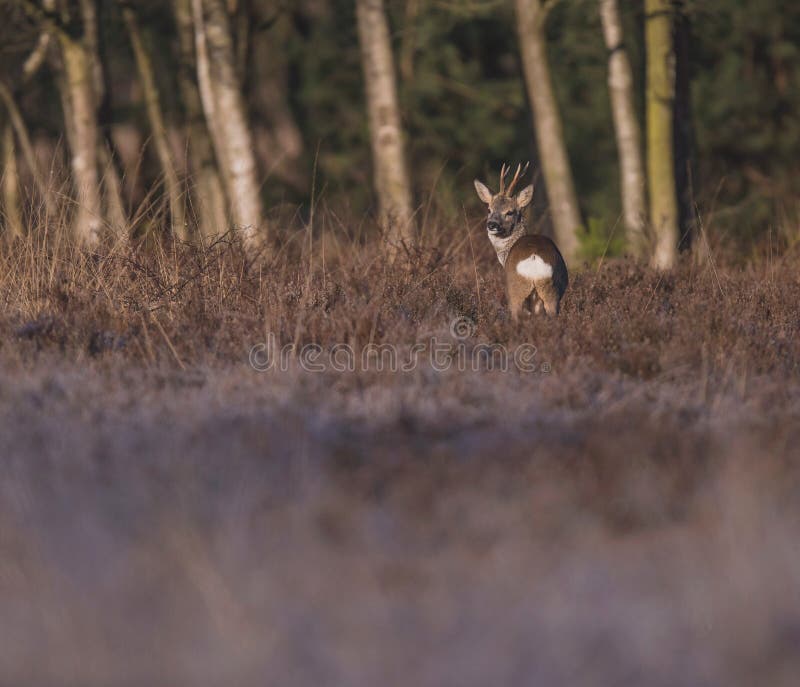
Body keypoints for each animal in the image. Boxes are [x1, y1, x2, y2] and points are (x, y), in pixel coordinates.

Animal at [474, 163, 568, 320]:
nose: (491, 224)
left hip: (515, 290)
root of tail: (534, 258)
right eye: (489, 209)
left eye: (510, 212)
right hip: (550, 290)